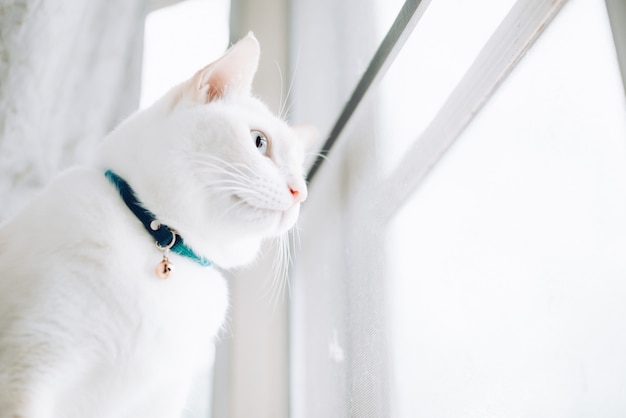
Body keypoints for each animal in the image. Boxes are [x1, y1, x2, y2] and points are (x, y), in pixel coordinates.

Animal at [0, 34, 312, 416]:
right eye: (259, 142)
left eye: (301, 170)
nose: (301, 193)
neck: (162, 240)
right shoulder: (28, 370)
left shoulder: (162, 398)